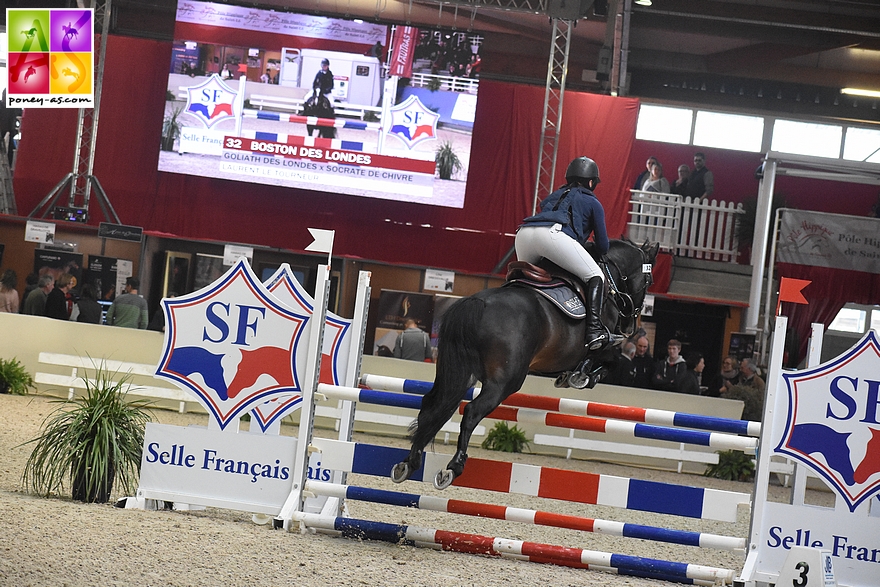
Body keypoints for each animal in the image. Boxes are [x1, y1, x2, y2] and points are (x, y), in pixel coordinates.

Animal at [390, 238, 659, 489]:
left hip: (455, 371)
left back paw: (408, 463)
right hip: (506, 381)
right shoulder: (603, 345)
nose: (629, 327)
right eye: (648, 281)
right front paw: (581, 376)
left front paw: (572, 376)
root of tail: (476, 303)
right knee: (472, 411)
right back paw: (453, 467)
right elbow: (609, 360)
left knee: (432, 404)